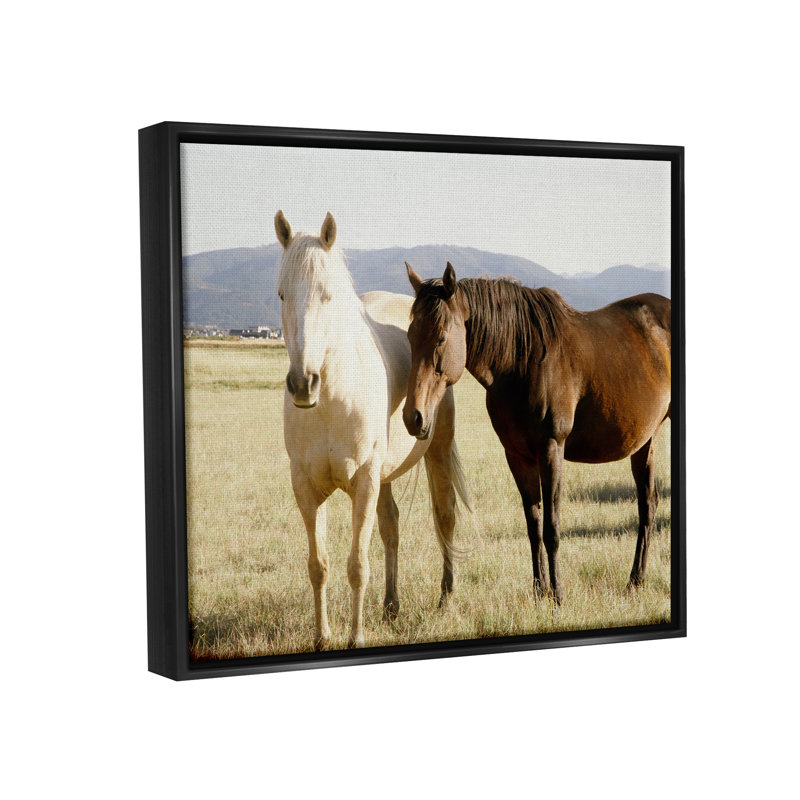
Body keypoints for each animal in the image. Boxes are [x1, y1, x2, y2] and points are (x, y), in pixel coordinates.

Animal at [275, 212, 469, 648]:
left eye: (328, 296)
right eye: (281, 295)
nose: (302, 384)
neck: (332, 401)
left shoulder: (363, 482)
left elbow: (357, 566)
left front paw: (356, 638)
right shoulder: (304, 486)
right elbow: (319, 565)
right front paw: (322, 638)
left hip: (435, 449)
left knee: (444, 517)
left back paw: (446, 600)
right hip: (384, 474)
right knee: (391, 526)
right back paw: (391, 606)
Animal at [402, 261, 671, 604]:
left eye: (441, 338)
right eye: (410, 336)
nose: (414, 418)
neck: (522, 361)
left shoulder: (551, 448)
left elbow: (552, 528)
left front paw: (557, 595)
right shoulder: (517, 455)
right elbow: (533, 526)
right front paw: (538, 591)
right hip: (645, 442)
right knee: (647, 504)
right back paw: (636, 581)